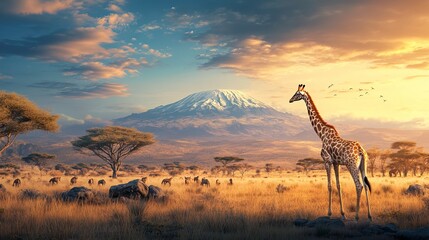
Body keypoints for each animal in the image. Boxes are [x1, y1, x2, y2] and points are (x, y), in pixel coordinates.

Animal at [290, 84, 372, 221]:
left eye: (296, 93)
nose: (290, 100)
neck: (321, 134)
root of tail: (361, 150)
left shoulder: (326, 161)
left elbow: (329, 185)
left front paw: (329, 213)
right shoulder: (335, 163)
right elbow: (338, 185)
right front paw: (342, 214)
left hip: (351, 165)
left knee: (359, 185)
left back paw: (356, 216)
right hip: (363, 165)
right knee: (365, 185)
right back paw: (370, 216)